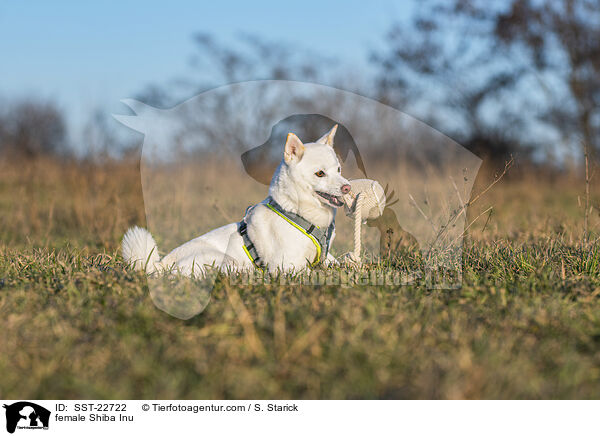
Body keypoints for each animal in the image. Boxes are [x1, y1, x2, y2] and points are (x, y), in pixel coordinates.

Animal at [123, 124, 346, 276]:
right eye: (320, 173)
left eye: (339, 170)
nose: (347, 187)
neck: (298, 212)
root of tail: (160, 265)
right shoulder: (286, 265)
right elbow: (313, 271)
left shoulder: (327, 258)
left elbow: (344, 263)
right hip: (222, 261)